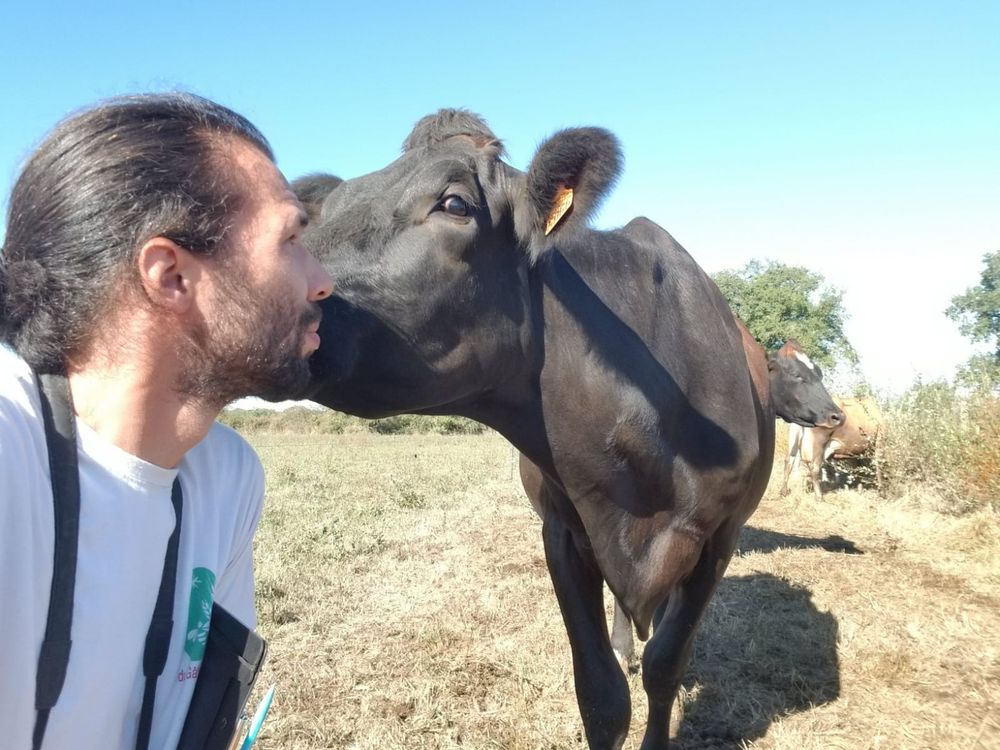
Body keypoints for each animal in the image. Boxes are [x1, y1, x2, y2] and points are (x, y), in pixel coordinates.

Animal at [295, 109, 840, 750]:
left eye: (454, 203)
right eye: (327, 210)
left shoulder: (718, 538)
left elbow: (666, 666)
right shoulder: (564, 530)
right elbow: (602, 696)